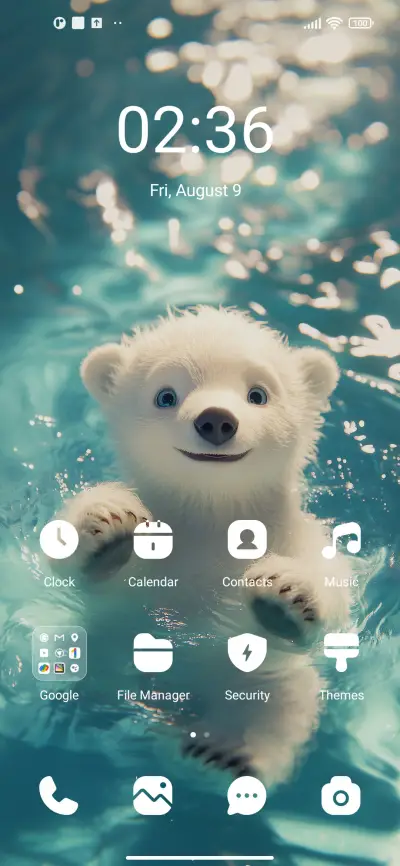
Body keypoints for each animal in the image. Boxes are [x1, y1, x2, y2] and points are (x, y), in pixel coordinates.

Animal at [59, 306, 353, 787]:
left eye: (257, 394)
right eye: (166, 395)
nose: (216, 420)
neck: (213, 518)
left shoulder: (300, 536)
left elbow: (334, 602)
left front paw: (287, 590)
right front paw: (106, 519)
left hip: (265, 677)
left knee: (277, 703)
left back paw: (221, 754)